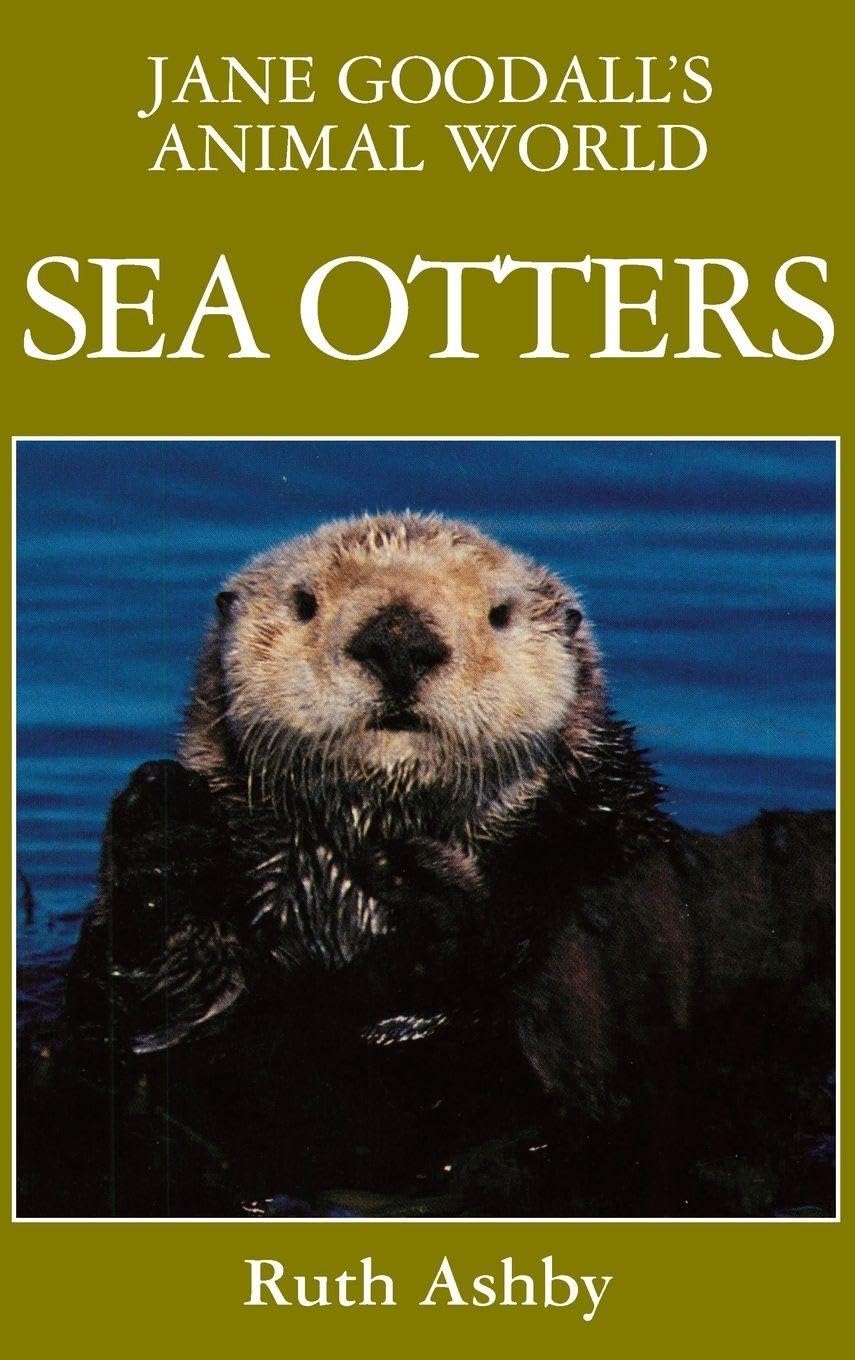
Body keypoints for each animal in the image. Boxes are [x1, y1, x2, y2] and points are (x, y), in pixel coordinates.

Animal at [21, 513, 833, 1218]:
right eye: (305, 602)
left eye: (499, 614)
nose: (398, 641)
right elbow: (149, 1007)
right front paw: (161, 826)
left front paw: (423, 887)